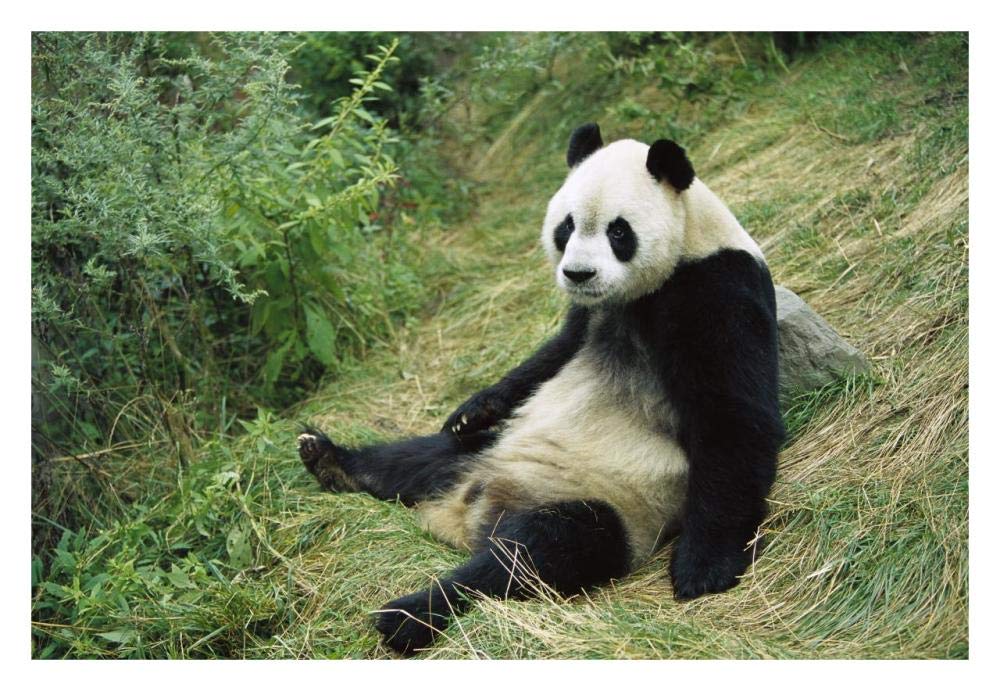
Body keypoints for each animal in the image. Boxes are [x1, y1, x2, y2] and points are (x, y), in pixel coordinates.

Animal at [297, 123, 784, 655]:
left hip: (616, 506)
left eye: (618, 231)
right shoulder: (589, 317)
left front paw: (703, 568)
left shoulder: (716, 290)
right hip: (489, 452)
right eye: (565, 227)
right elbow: (549, 358)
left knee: (540, 551)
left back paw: (409, 615)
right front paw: (472, 409)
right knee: (423, 457)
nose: (578, 273)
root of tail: (467, 515)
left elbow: (733, 417)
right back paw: (331, 460)